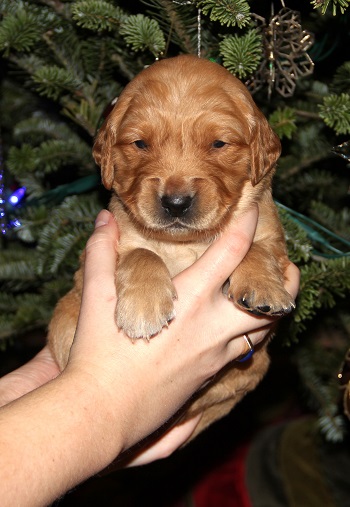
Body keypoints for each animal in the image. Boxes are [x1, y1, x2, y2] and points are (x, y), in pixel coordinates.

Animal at [48, 54, 296, 436]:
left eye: (219, 144)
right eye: (140, 144)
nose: (176, 203)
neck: (186, 243)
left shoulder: (270, 231)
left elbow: (259, 249)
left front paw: (263, 289)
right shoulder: (113, 238)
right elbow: (142, 253)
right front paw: (144, 308)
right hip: (62, 322)